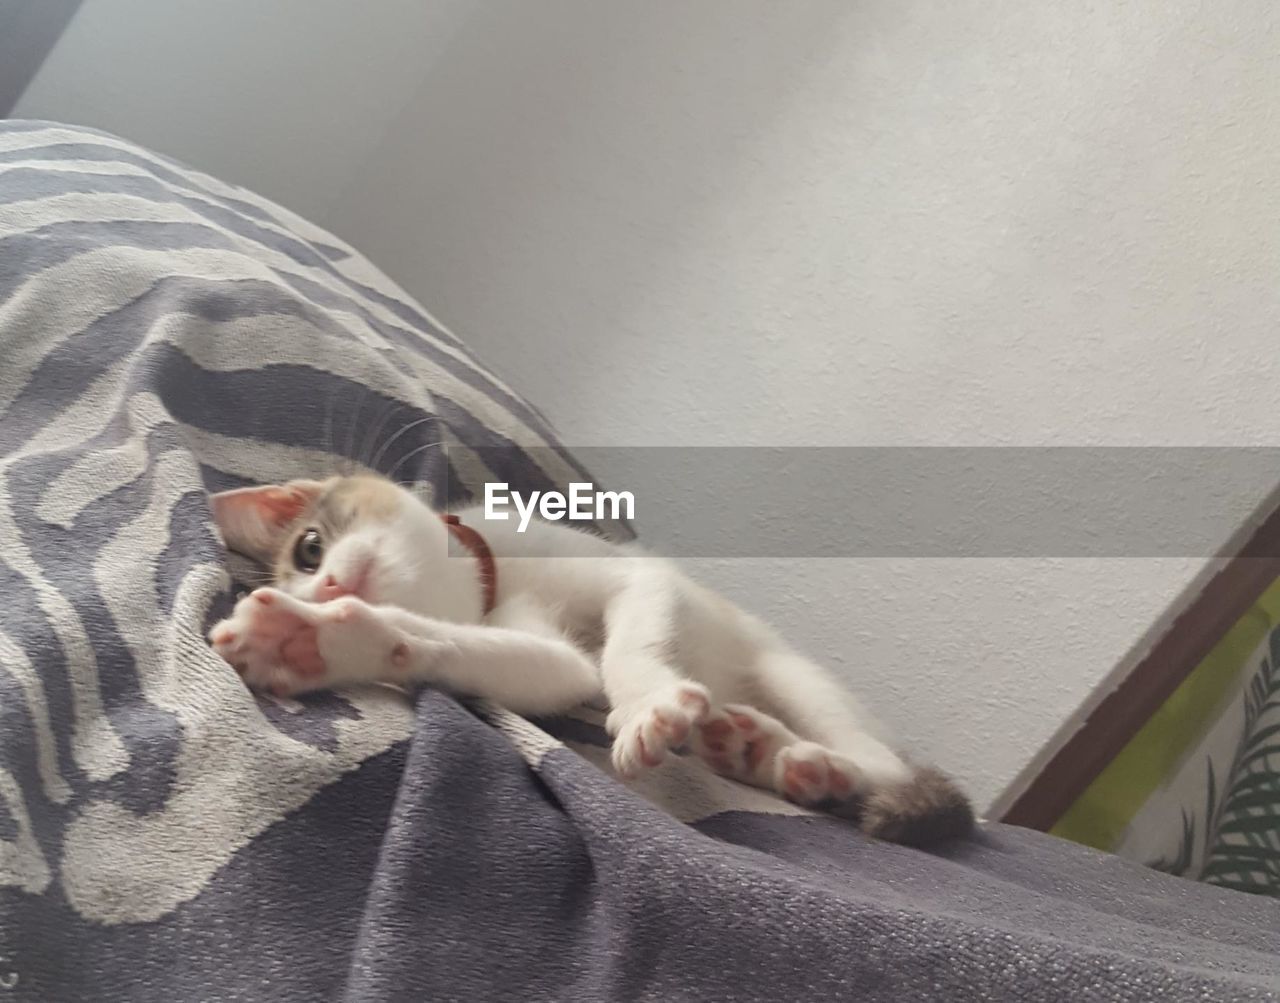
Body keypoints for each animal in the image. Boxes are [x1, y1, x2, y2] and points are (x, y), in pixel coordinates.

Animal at [207, 473, 967, 844]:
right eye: (305, 569)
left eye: (309, 548)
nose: (325, 588)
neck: (493, 575)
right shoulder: (530, 644)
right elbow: (553, 667)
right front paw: (311, 641)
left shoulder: (634, 572)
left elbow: (629, 644)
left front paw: (645, 706)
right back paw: (756, 749)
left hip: (796, 674)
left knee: (878, 760)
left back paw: (815, 762)